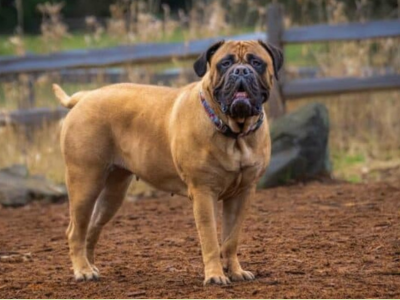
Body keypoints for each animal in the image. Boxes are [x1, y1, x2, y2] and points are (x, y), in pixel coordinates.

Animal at [53, 39, 282, 286]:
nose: (241, 70)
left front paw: (236, 271)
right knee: (76, 231)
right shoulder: (204, 193)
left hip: (113, 192)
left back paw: (91, 266)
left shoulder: (242, 193)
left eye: (256, 62)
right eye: (225, 63)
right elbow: (210, 238)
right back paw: (82, 270)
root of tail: (84, 96)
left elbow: (231, 238)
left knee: (92, 227)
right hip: (85, 182)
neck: (235, 132)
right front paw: (215, 276)